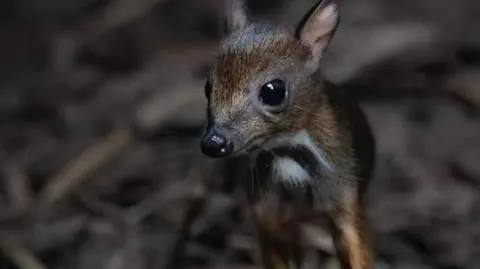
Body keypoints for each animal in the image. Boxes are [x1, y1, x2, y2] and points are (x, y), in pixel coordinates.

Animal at [199, 0, 376, 268]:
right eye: (208, 87)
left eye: (273, 91)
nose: (214, 141)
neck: (288, 156)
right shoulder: (265, 211)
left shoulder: (344, 197)